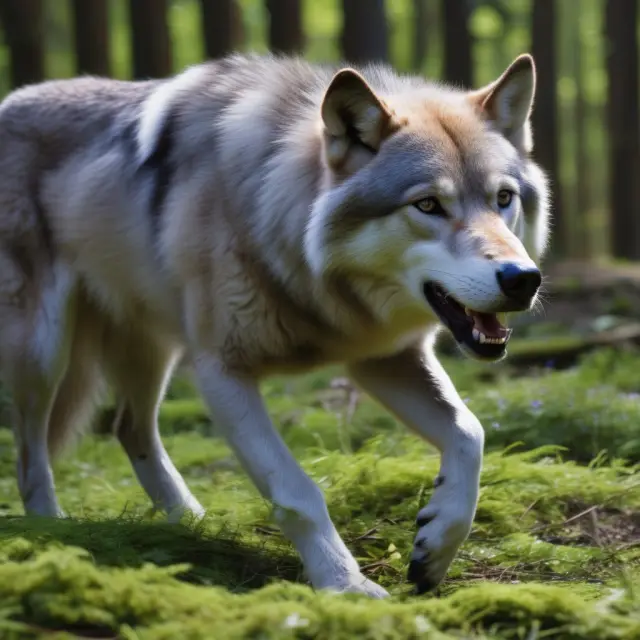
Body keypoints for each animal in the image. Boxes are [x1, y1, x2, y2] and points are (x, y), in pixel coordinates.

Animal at [0, 51, 549, 597]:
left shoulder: (384, 359)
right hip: (44, 353)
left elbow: (470, 433)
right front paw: (344, 585)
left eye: (503, 199)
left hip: (151, 351)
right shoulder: (221, 373)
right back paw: (50, 530)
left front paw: (436, 547)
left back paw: (195, 523)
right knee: (30, 456)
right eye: (429, 204)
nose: (523, 279)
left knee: (129, 428)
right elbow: (298, 492)